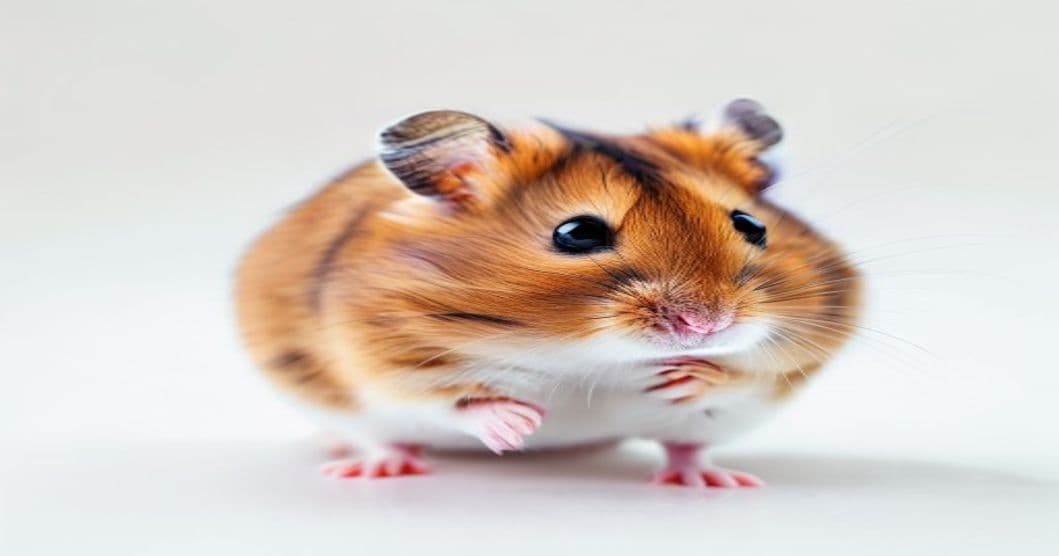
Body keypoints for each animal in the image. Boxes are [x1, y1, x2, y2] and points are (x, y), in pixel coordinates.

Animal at [234, 99, 862, 487]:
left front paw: (686, 376)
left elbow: (754, 370)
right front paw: (521, 424)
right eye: (578, 233)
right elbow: (448, 393)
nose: (708, 325)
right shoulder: (375, 346)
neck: (583, 355)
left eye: (751, 225)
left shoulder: (803, 347)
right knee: (388, 440)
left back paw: (712, 480)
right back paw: (369, 467)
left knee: (685, 447)